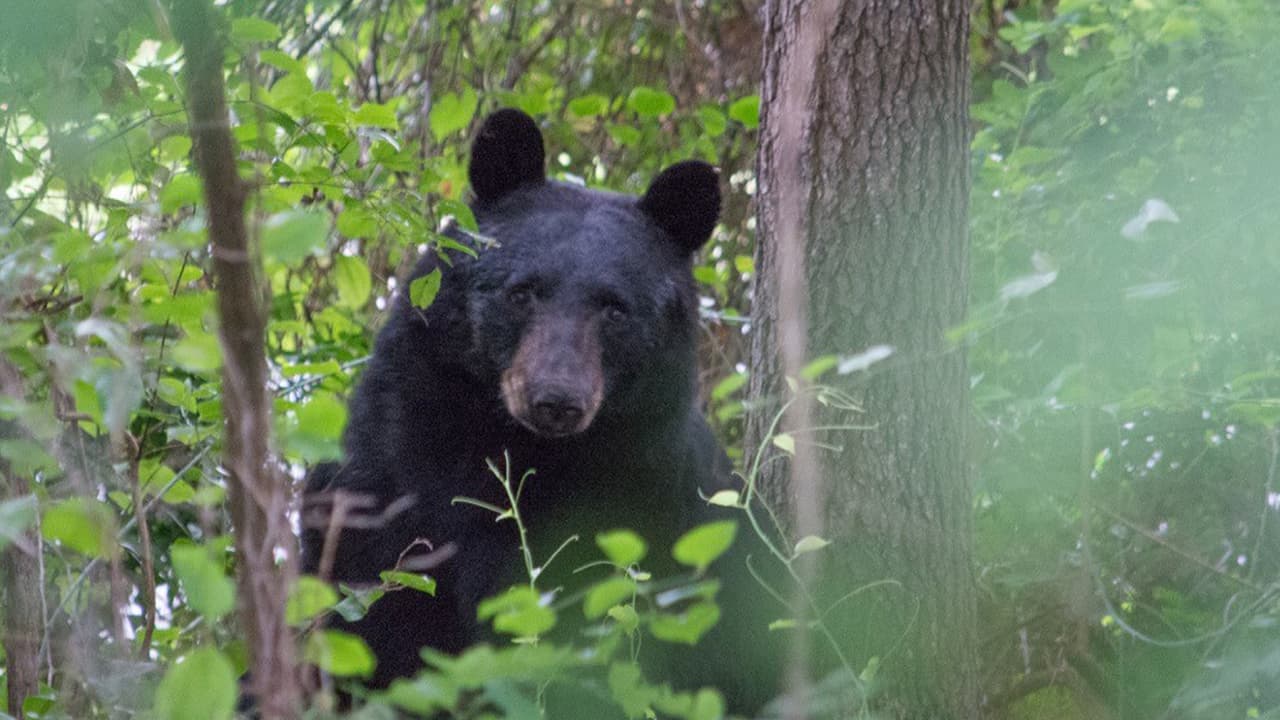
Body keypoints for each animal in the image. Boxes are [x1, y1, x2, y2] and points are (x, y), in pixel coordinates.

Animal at [301, 108, 776, 713]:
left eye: (615, 309)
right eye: (522, 292)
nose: (555, 399)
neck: (515, 445)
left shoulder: (652, 501)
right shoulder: (384, 477)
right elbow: (370, 619)